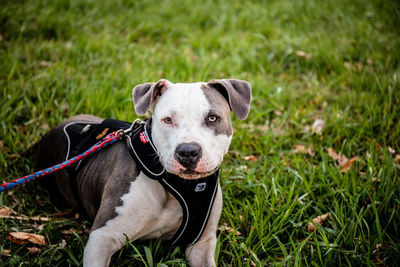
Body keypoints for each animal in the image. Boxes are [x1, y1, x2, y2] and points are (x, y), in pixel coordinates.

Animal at [36, 78, 252, 266]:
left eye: (212, 118)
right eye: (167, 120)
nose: (188, 151)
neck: (178, 186)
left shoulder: (202, 242)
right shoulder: (102, 237)